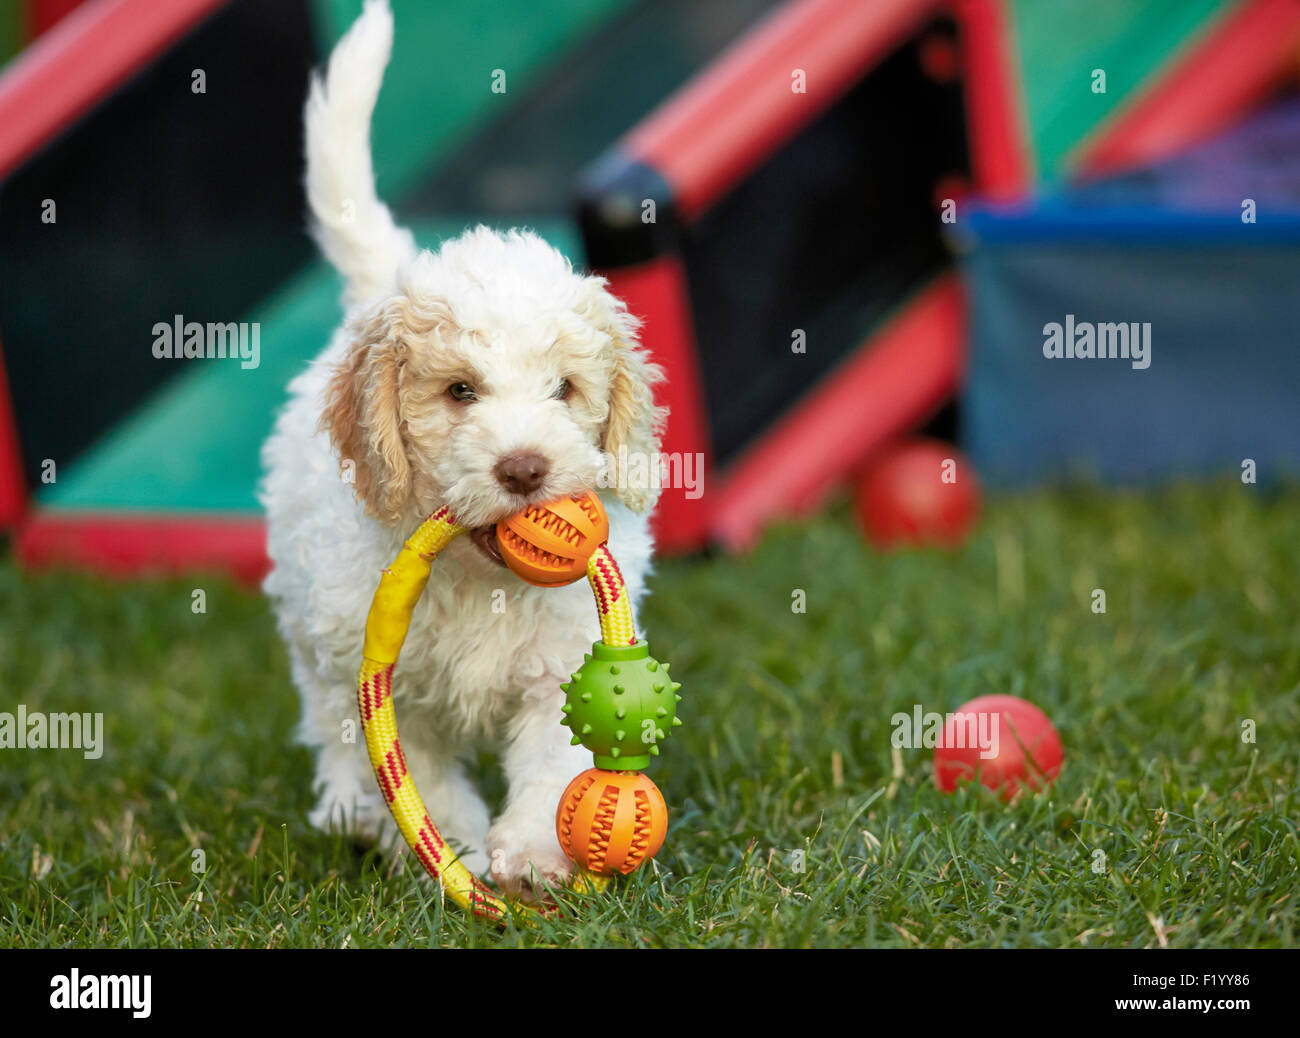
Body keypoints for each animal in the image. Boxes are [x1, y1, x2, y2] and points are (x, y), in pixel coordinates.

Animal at [263, 0, 670, 894]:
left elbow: (555, 756)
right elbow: (420, 773)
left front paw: (533, 853)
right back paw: (345, 808)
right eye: (458, 392)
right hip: (309, 620)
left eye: (565, 391)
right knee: (321, 711)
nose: (524, 468)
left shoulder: (562, 659)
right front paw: (457, 848)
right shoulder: (382, 673)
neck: (482, 580)